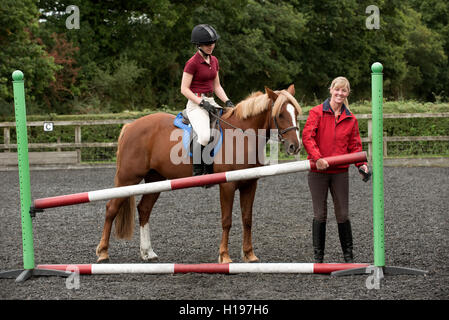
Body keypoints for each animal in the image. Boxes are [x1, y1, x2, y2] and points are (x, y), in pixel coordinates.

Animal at [96, 84, 302, 264]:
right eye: (280, 114)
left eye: (296, 114)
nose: (295, 146)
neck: (242, 137)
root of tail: (130, 127)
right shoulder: (227, 185)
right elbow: (226, 220)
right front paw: (224, 256)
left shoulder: (250, 184)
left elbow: (247, 219)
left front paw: (249, 255)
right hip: (128, 178)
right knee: (111, 208)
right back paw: (103, 252)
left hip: (156, 179)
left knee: (144, 209)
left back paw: (148, 253)